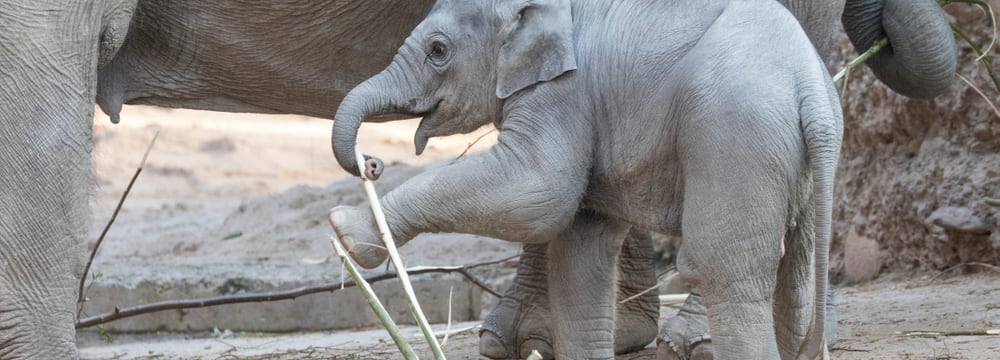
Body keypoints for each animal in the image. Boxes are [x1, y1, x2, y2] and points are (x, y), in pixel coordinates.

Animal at [326, 0, 836, 358]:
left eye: (437, 50)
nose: (372, 163)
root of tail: (810, 85)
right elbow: (579, 252)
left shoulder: (564, 93)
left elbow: (537, 191)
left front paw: (344, 230)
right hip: (793, 161)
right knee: (792, 283)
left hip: (734, 135)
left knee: (724, 271)